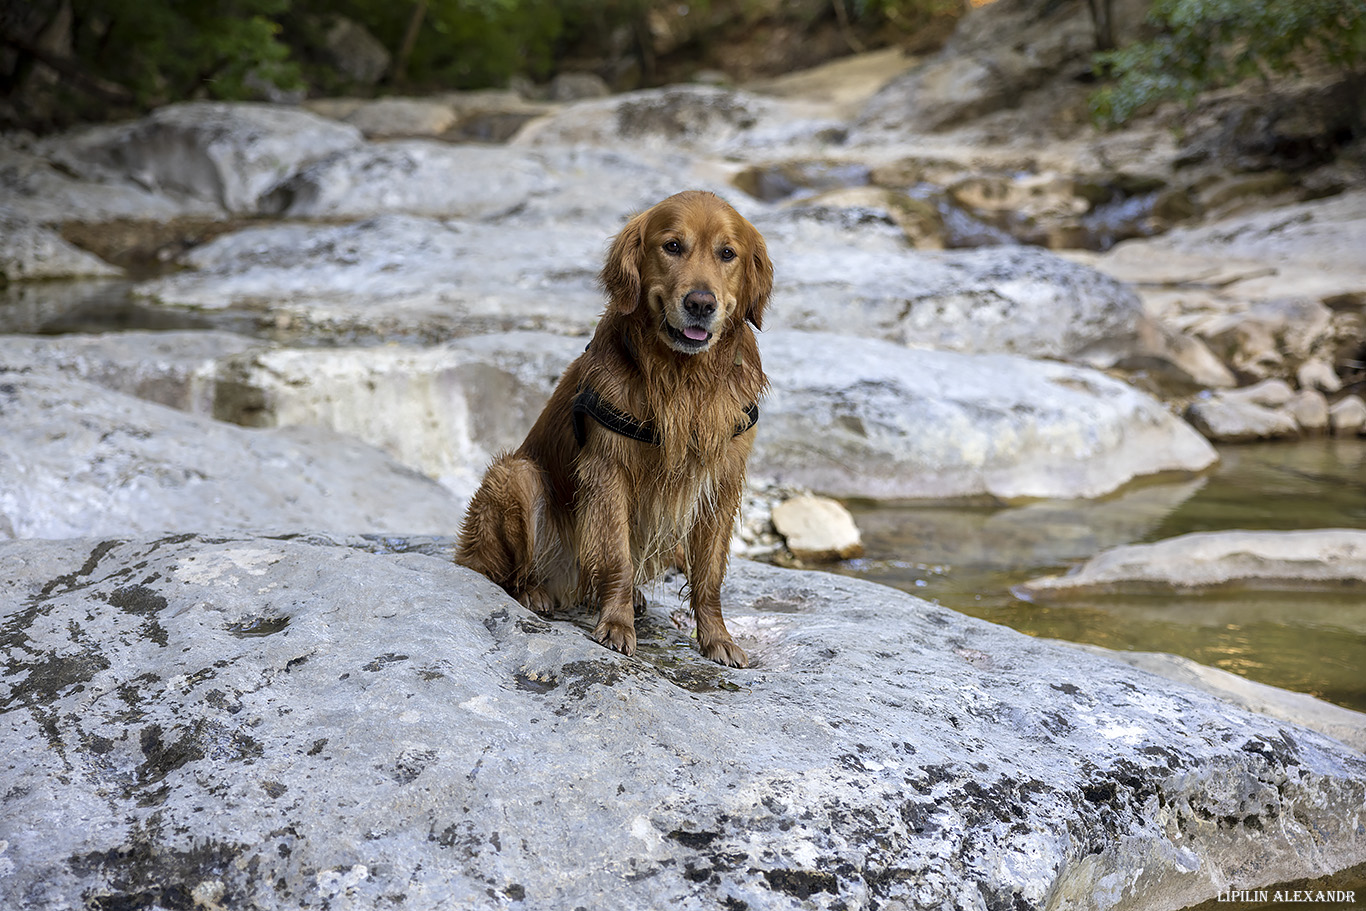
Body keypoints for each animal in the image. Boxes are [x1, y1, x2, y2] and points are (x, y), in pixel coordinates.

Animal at [458, 188, 775, 666]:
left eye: (727, 253)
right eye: (672, 246)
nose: (701, 303)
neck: (684, 377)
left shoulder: (722, 480)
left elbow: (710, 573)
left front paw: (717, 638)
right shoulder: (609, 470)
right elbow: (616, 559)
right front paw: (617, 625)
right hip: (516, 475)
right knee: (504, 572)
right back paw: (535, 593)